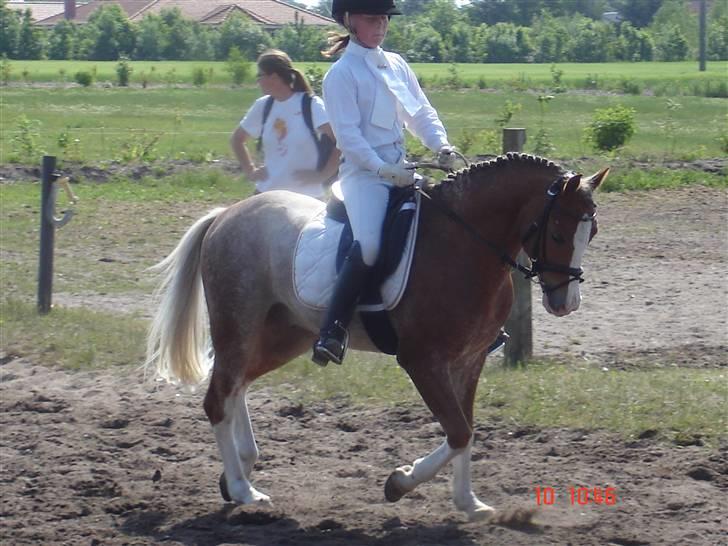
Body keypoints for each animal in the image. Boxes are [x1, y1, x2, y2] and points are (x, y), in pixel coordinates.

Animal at [145, 152, 604, 520]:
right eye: (558, 233)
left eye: (592, 233)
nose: (566, 302)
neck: (464, 243)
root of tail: (227, 215)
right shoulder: (422, 361)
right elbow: (457, 431)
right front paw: (399, 482)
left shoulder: (469, 360)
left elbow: (467, 430)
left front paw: (468, 502)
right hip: (239, 325)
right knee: (218, 396)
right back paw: (244, 489)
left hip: (284, 335)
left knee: (236, 383)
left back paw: (240, 467)